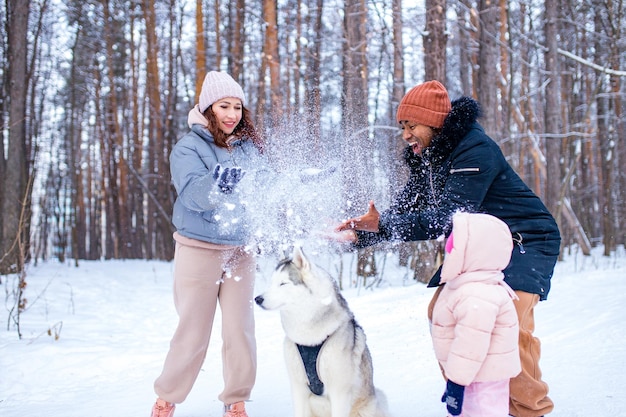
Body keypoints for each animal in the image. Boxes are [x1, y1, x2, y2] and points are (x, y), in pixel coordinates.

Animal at [255, 247, 390, 416]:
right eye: (272, 283)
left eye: (283, 283)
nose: (257, 299)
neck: (309, 339)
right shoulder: (298, 388)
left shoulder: (339, 392)